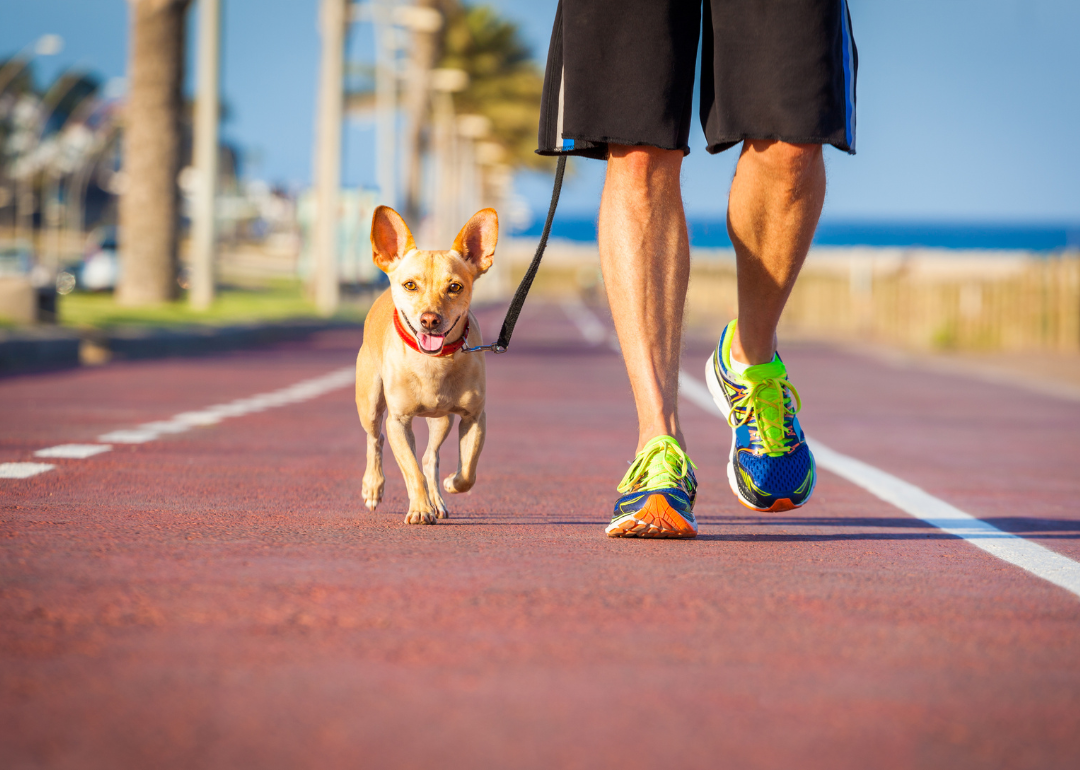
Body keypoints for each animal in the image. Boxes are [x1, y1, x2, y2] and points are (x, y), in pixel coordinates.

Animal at [354, 204, 496, 522]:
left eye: (455, 287)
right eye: (410, 285)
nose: (430, 319)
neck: (433, 363)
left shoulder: (474, 417)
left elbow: (468, 470)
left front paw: (452, 484)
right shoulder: (398, 421)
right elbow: (411, 470)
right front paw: (419, 509)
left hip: (441, 420)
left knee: (430, 457)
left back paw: (438, 501)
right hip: (369, 403)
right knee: (374, 439)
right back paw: (373, 487)